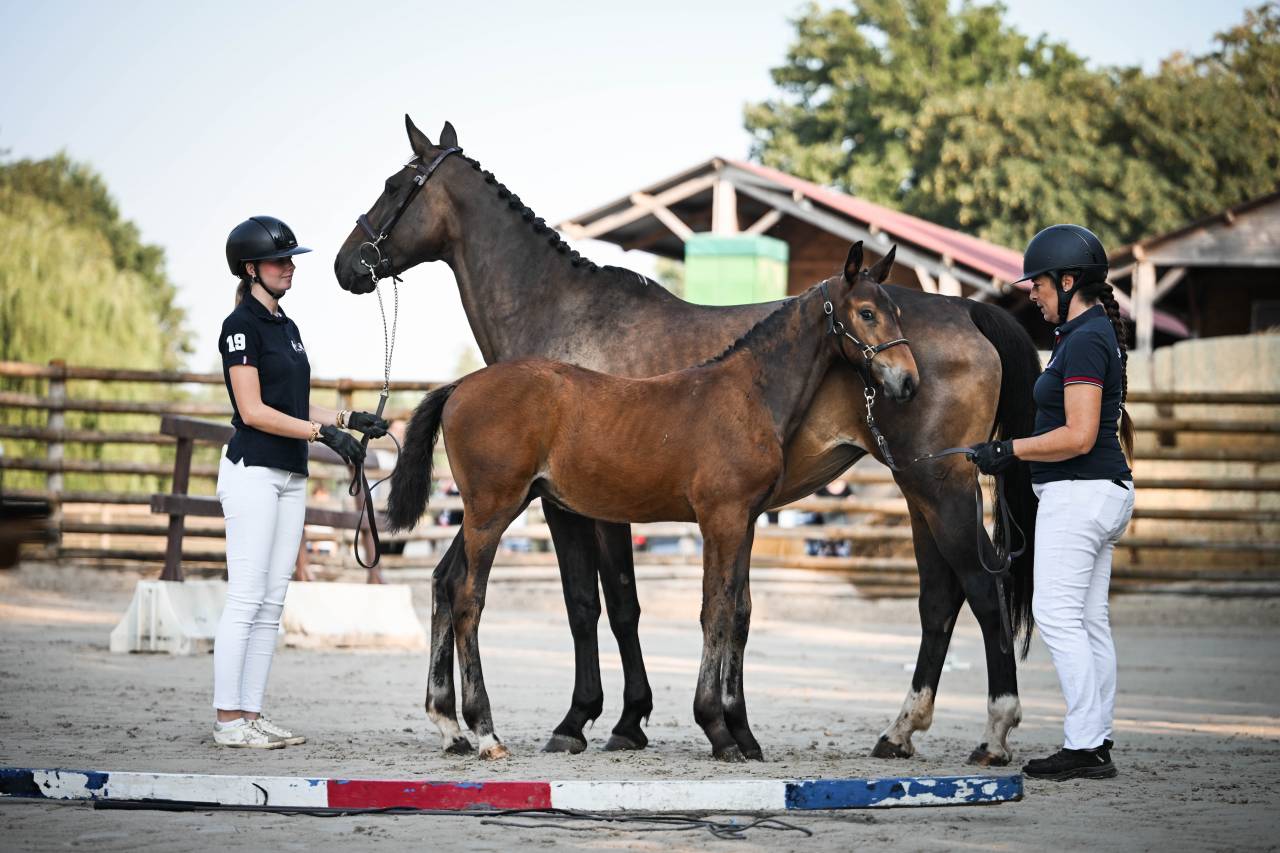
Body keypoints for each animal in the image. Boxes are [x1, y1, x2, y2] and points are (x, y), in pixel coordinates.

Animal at [385, 251, 918, 761]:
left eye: (897, 311)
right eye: (866, 312)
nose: (909, 382)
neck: (749, 393)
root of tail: (460, 386)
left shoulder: (745, 521)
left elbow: (739, 611)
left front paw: (744, 734)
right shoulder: (719, 519)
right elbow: (714, 610)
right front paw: (717, 730)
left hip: (490, 510)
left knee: (446, 582)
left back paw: (451, 727)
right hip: (492, 511)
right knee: (468, 599)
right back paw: (486, 733)